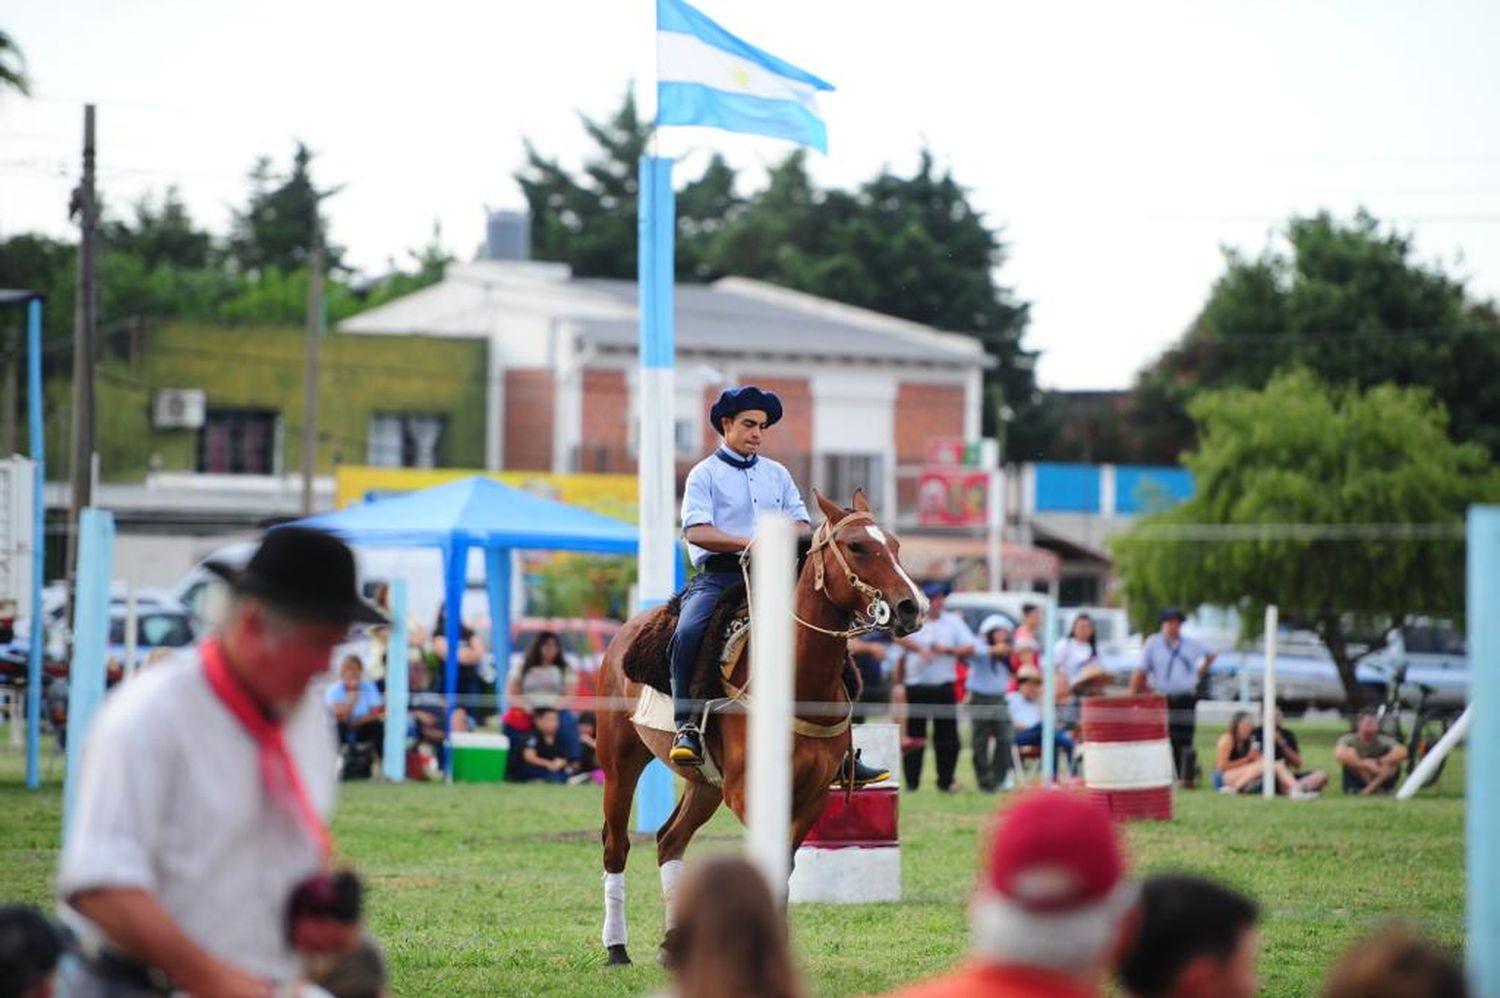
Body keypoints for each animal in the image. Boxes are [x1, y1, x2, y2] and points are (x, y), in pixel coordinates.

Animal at [594, 489, 924, 966]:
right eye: (858, 546)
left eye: (895, 545)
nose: (912, 606)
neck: (796, 679)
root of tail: (625, 633)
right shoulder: (746, 792)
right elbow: (767, 863)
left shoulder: (811, 795)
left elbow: (783, 867)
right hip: (620, 764)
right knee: (615, 845)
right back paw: (617, 948)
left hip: (705, 784)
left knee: (670, 840)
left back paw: (674, 944)